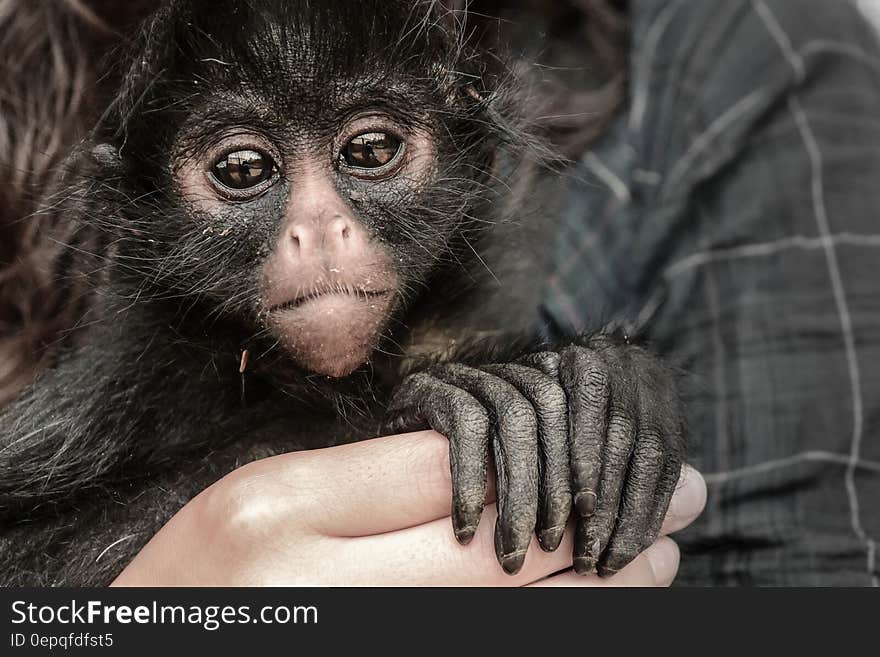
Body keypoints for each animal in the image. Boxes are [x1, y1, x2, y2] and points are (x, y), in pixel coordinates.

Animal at [0, 0, 684, 584]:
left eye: (370, 149)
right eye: (243, 169)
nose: (321, 227)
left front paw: (606, 379)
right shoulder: (137, 373)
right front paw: (446, 399)